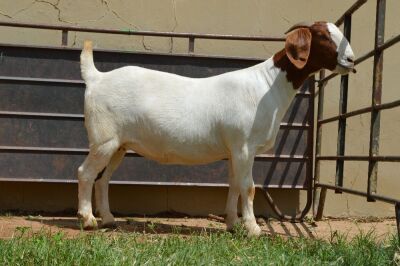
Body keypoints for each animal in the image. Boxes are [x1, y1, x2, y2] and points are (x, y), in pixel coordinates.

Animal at [78, 21, 356, 236]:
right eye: (323, 36)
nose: (351, 59)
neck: (267, 85)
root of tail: (97, 78)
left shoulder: (233, 151)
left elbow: (233, 185)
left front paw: (233, 225)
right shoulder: (244, 146)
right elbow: (248, 187)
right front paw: (253, 229)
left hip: (119, 145)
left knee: (103, 179)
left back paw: (109, 220)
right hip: (103, 139)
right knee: (85, 172)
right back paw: (88, 220)